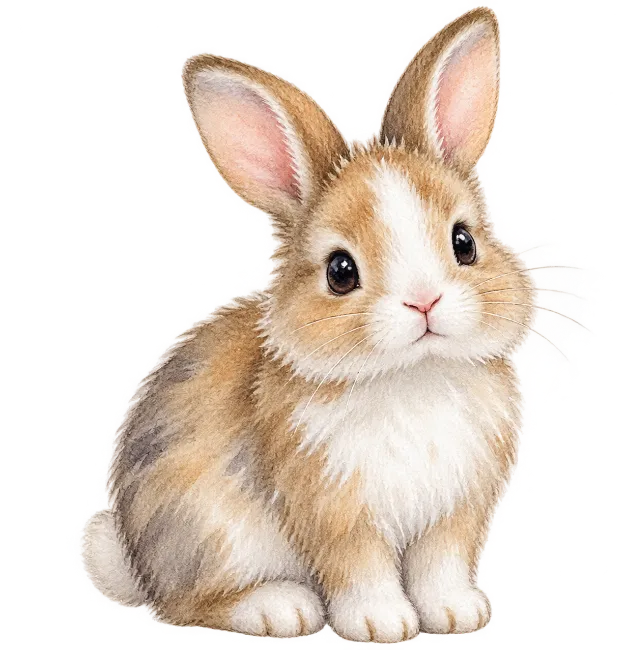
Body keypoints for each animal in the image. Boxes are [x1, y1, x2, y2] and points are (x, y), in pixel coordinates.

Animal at [75, 6, 589, 644]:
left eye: (464, 243)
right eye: (340, 271)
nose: (424, 302)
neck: (411, 375)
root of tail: (131, 560)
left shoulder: (454, 514)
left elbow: (440, 565)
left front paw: (458, 616)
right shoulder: (335, 514)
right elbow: (359, 568)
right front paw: (382, 626)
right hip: (212, 536)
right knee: (191, 603)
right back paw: (280, 609)